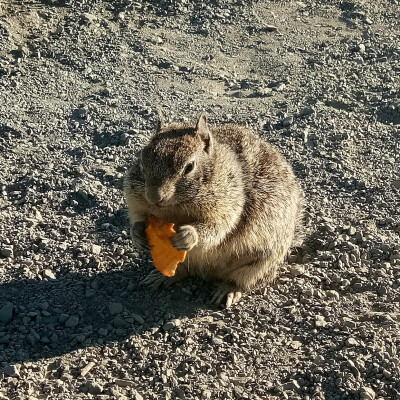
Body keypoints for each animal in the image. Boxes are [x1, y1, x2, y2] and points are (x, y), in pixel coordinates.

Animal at [125, 114, 304, 308]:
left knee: (239, 281)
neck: (177, 208)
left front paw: (189, 235)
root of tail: (208, 273)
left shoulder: (229, 206)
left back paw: (227, 290)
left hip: (259, 262)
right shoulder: (135, 199)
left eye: (189, 166)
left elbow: (217, 228)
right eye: (142, 159)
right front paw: (137, 233)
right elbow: (137, 216)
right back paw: (160, 277)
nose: (153, 197)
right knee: (182, 271)